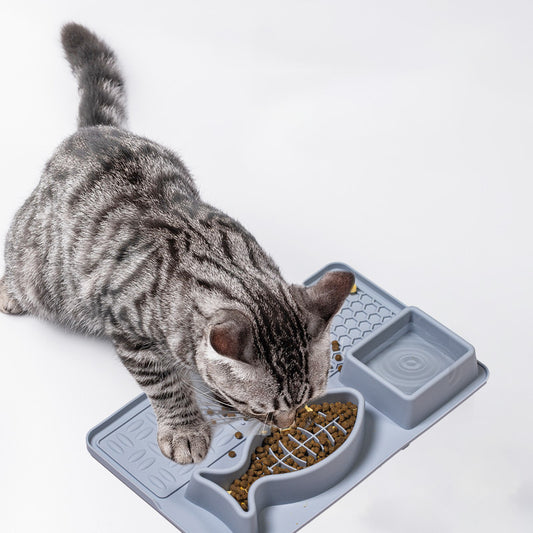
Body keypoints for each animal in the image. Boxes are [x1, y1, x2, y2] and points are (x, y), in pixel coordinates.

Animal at [0, 21, 354, 462]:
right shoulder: (130, 332)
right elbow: (165, 386)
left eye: (310, 399)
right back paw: (9, 290)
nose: (287, 425)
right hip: (40, 271)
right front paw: (184, 428)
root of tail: (92, 131)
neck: (225, 266)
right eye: (262, 410)